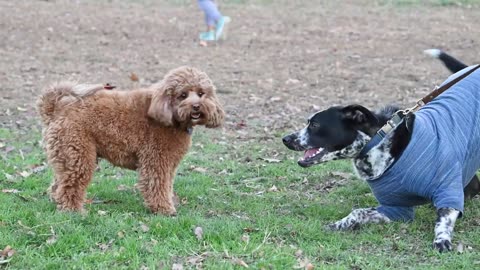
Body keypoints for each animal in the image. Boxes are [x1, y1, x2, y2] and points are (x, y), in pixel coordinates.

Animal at [37, 66, 225, 215]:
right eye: (182, 95)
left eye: (201, 93)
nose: (196, 106)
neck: (170, 116)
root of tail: (56, 110)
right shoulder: (156, 161)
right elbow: (157, 186)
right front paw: (164, 209)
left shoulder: (169, 165)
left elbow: (167, 186)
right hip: (79, 155)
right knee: (70, 187)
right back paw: (73, 211)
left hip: (66, 157)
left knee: (58, 185)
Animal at [284, 51, 480, 253]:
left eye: (314, 125)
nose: (286, 139)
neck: (379, 144)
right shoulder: (395, 208)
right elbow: (358, 212)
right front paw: (338, 225)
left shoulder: (450, 188)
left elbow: (444, 218)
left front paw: (442, 239)